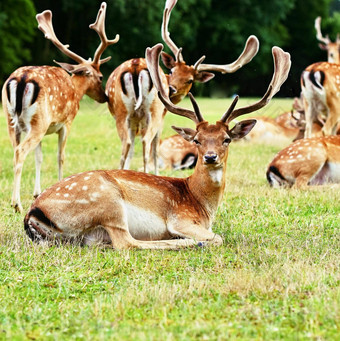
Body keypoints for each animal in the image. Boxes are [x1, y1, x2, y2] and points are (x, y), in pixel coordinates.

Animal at [1, 1, 119, 211]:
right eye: (100, 77)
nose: (105, 97)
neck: (76, 90)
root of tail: (22, 79)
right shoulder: (66, 122)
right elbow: (60, 156)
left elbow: (39, 158)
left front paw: (37, 193)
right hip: (38, 122)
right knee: (20, 151)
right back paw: (17, 204)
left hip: (13, 120)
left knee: (15, 150)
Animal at [22, 42, 290, 250]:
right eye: (197, 139)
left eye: (226, 138)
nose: (210, 157)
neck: (202, 205)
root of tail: (33, 212)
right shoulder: (180, 218)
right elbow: (218, 237)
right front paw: (197, 239)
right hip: (108, 201)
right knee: (127, 243)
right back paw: (187, 243)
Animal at [105, 0, 258, 174]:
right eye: (172, 71)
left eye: (190, 80)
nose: (171, 89)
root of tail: (135, 66)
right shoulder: (160, 116)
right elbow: (153, 149)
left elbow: (132, 152)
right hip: (151, 112)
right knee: (144, 141)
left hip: (125, 112)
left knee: (128, 143)